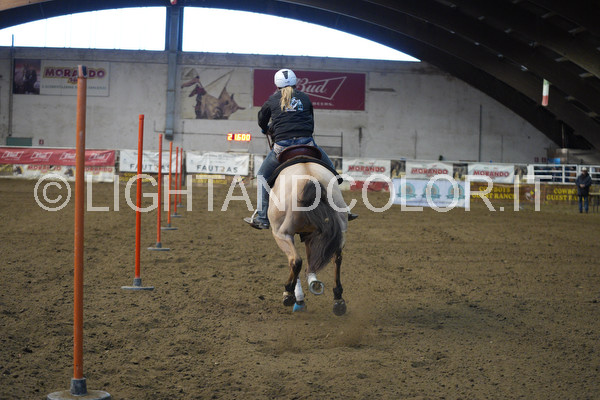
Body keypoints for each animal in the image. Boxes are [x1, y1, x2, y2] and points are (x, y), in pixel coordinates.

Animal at [267, 150, 349, 316]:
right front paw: (312, 281)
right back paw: (338, 300)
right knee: (337, 258)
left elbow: (296, 261)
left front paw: (297, 297)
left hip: (281, 233)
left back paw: (289, 293)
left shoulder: (286, 234)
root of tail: (310, 179)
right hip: (339, 229)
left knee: (296, 261)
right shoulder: (311, 234)